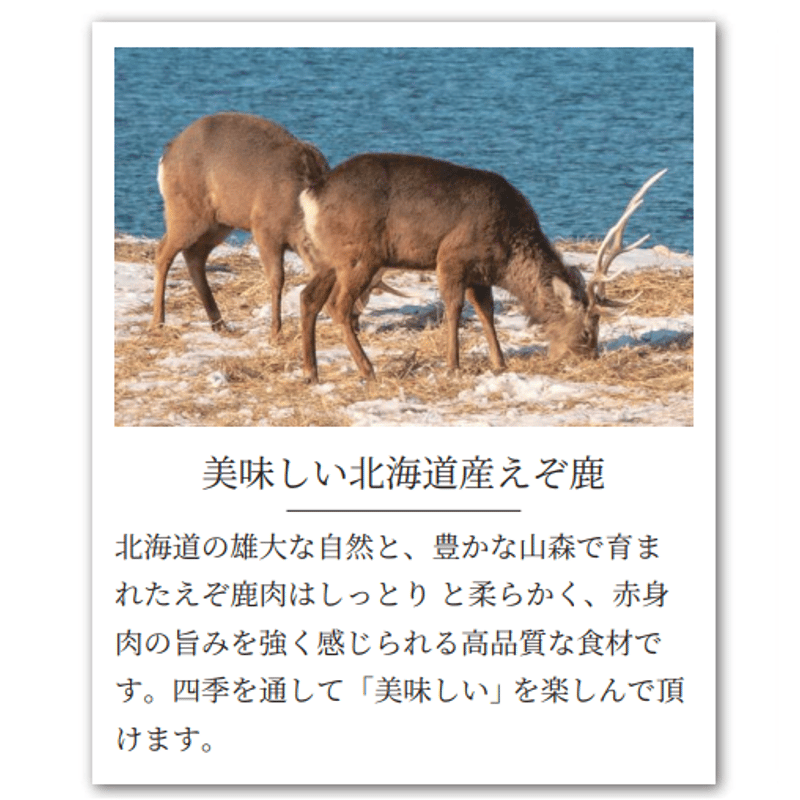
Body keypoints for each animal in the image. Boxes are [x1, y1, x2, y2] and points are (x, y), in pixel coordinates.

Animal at [150, 112, 401, 340]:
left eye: (368, 295)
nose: (354, 324)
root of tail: (167, 153)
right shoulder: (264, 229)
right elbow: (277, 280)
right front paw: (275, 333)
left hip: (220, 222)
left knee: (194, 255)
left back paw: (218, 324)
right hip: (186, 210)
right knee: (163, 252)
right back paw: (158, 322)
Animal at [298, 153, 666, 382]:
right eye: (589, 331)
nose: (591, 359)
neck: (507, 254)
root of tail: (312, 194)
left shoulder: (481, 274)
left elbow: (486, 313)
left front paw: (499, 363)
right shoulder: (451, 257)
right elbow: (454, 309)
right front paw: (453, 365)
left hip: (329, 257)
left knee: (308, 298)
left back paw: (311, 373)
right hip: (361, 255)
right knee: (338, 305)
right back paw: (367, 369)